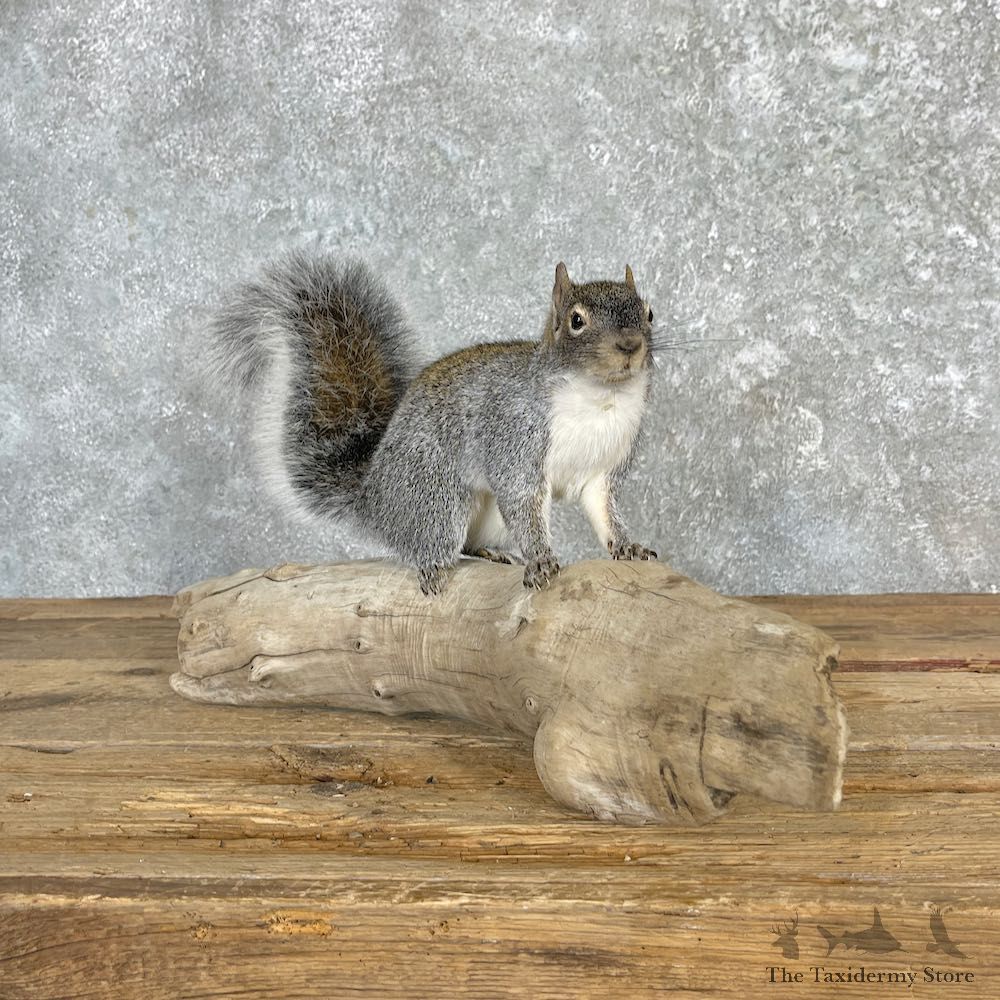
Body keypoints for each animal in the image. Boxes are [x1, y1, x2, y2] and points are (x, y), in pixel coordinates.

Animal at [209, 250, 658, 594]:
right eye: (576, 321)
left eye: (650, 313)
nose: (629, 345)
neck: (599, 399)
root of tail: (374, 498)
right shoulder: (514, 439)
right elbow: (524, 503)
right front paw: (541, 559)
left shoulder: (602, 468)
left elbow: (603, 511)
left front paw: (628, 546)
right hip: (436, 499)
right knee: (431, 544)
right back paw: (434, 567)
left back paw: (490, 552)